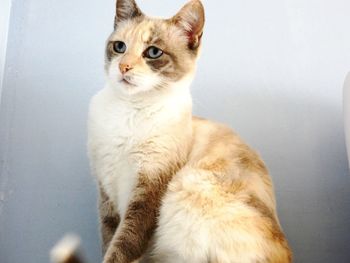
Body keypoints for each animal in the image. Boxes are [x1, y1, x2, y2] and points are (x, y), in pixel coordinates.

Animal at [86, 0, 292, 262]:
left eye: (153, 52)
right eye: (119, 47)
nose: (123, 67)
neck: (130, 110)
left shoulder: (149, 190)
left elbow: (122, 246)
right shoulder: (106, 191)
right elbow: (109, 239)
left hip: (187, 189)